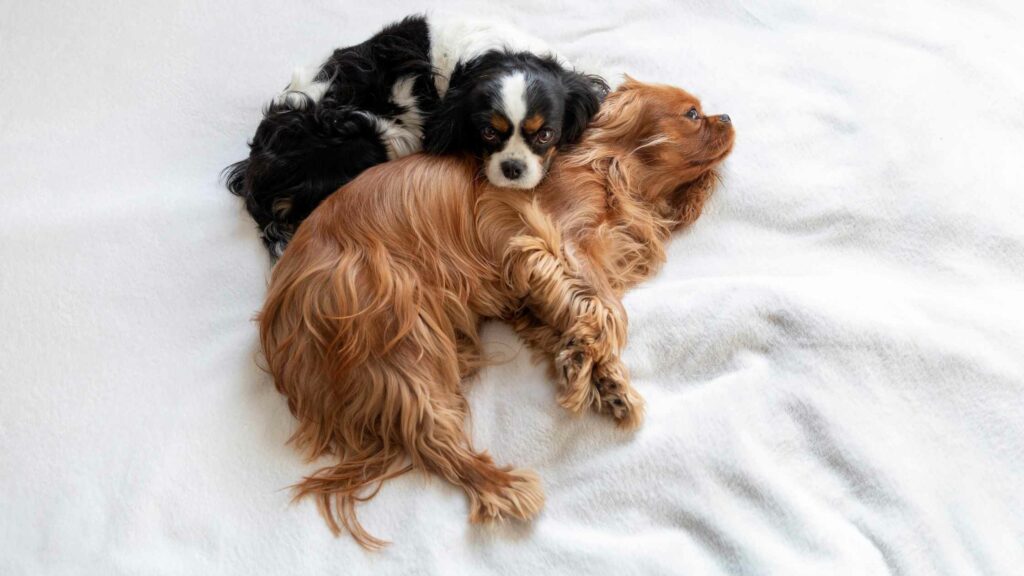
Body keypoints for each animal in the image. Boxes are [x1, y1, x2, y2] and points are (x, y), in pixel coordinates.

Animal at [225, 14, 606, 256]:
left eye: (545, 135)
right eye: (487, 133)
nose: (513, 169)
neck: (494, 56)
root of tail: (255, 173)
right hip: (367, 139)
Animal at [260, 77, 733, 545]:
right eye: (693, 114)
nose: (728, 116)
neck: (610, 167)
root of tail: (279, 317)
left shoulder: (529, 293)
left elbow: (577, 317)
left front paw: (602, 379)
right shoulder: (550, 241)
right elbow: (610, 311)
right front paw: (586, 368)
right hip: (401, 335)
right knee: (431, 438)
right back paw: (504, 487)